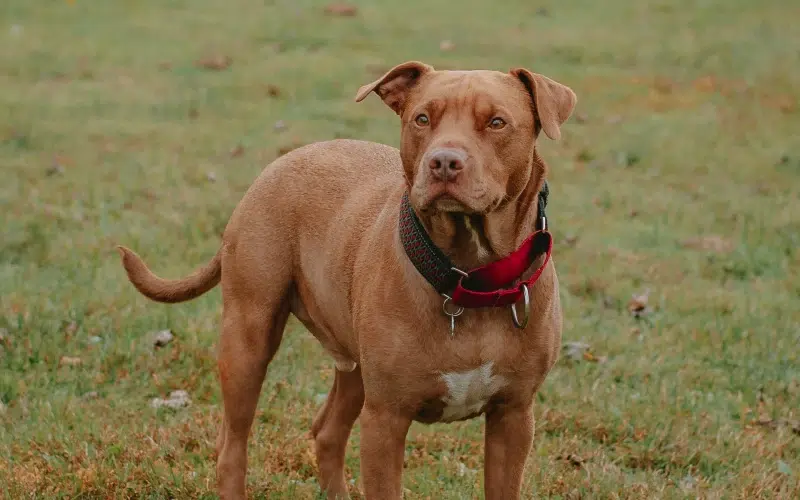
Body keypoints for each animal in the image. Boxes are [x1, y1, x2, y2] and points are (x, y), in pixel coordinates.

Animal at [117, 60, 576, 498]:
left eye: (497, 122)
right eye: (422, 118)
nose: (444, 162)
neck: (468, 278)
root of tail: (282, 160)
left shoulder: (513, 418)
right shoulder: (386, 420)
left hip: (352, 364)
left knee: (327, 431)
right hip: (248, 339)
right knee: (233, 445)